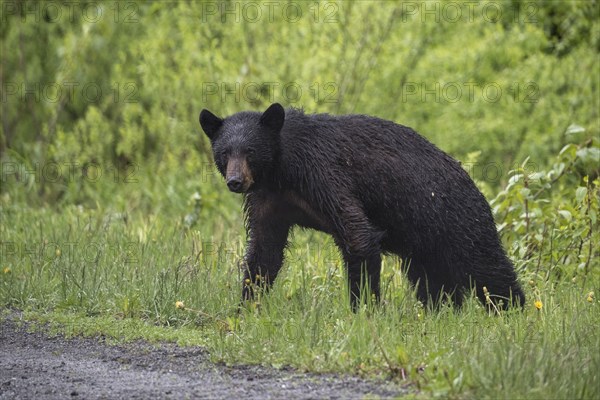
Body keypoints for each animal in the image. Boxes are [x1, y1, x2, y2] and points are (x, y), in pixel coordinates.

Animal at [198, 102, 524, 310]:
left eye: (250, 151)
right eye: (224, 152)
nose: (236, 181)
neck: (281, 170)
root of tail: (474, 185)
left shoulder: (324, 175)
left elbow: (358, 235)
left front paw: (364, 309)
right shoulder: (269, 200)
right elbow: (264, 252)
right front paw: (245, 307)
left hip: (458, 220)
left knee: (490, 270)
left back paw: (513, 311)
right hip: (425, 244)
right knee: (434, 282)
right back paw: (441, 312)